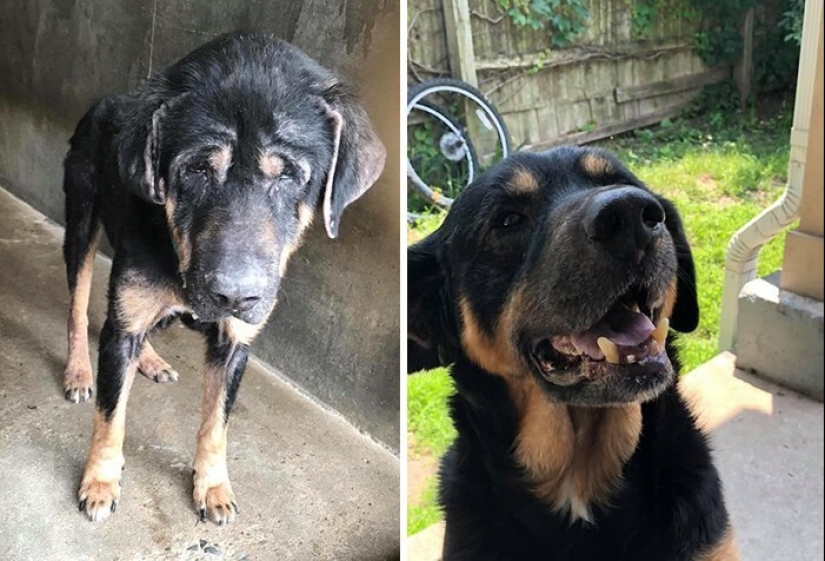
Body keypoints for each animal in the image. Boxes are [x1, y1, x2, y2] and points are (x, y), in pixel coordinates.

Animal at [62, 31, 384, 520]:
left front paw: (212, 485)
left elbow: (217, 423)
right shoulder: (124, 323)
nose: (235, 297)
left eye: (289, 175)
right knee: (79, 307)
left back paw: (149, 359)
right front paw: (100, 481)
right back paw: (79, 371)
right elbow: (110, 415)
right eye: (196, 169)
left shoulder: (235, 345)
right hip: (80, 224)